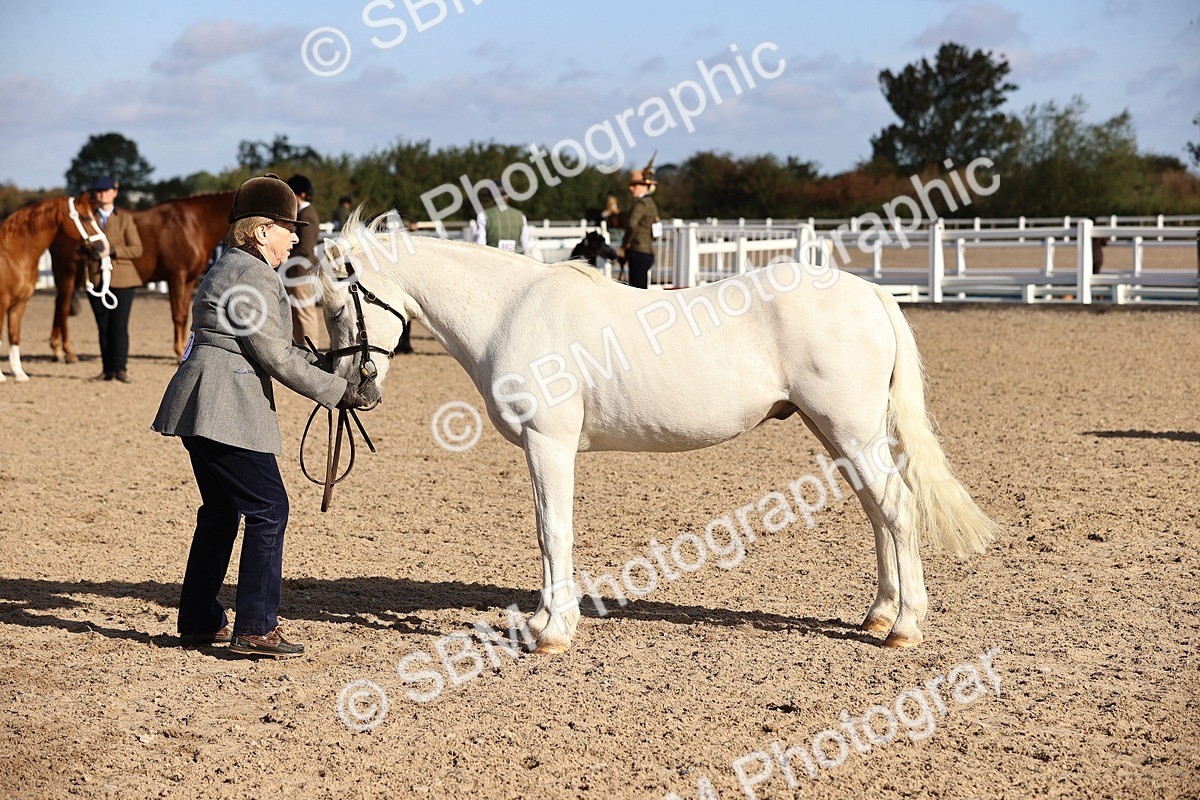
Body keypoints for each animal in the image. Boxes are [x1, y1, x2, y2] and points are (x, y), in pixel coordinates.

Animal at [0, 194, 102, 381]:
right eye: (86, 217)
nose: (104, 247)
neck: (13, 255)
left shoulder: (20, 303)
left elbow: (15, 336)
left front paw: (19, 374)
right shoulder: (2, 304)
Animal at [50, 191, 236, 363]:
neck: (193, 224)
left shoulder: (189, 279)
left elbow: (185, 315)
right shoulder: (177, 277)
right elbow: (178, 314)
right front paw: (178, 352)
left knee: (59, 304)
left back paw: (57, 350)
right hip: (68, 273)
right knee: (63, 307)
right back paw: (67, 352)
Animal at [317, 213, 997, 654]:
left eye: (337, 303)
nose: (357, 388)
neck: (511, 311)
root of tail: (872, 293)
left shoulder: (548, 444)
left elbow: (552, 531)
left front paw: (551, 633)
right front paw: (544, 625)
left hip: (849, 430)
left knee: (897, 507)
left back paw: (904, 627)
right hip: (839, 434)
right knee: (877, 511)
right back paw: (878, 617)